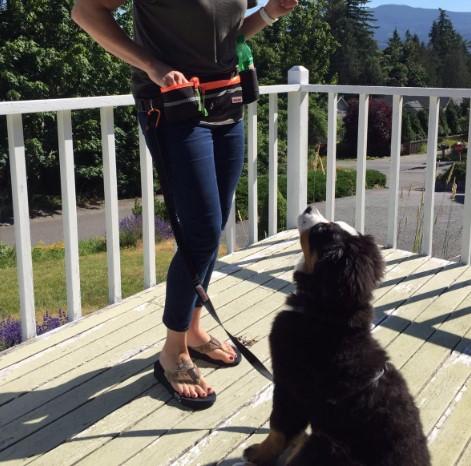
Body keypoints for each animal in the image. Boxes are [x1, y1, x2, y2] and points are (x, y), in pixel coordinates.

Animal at [243, 208, 432, 466]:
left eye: (321, 230)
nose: (310, 208)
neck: (326, 315)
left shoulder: (288, 383)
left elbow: (278, 427)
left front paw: (258, 454)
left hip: (327, 445)